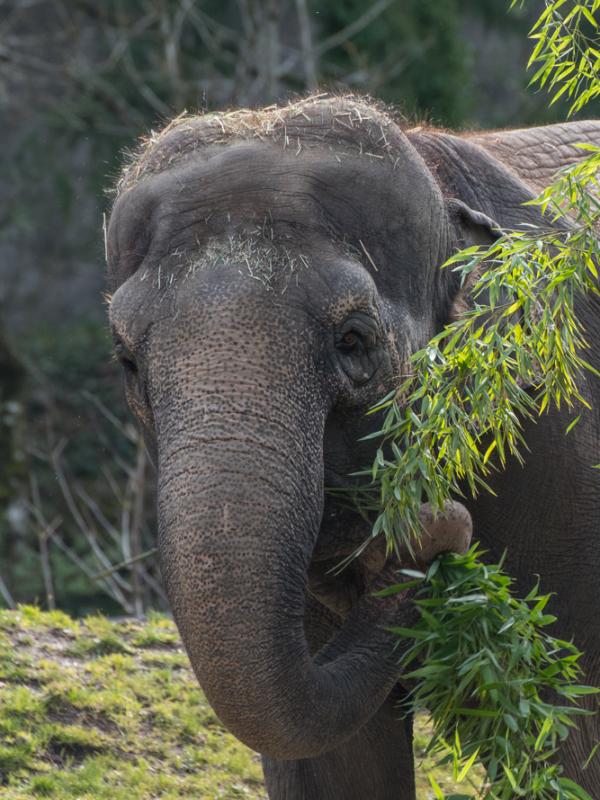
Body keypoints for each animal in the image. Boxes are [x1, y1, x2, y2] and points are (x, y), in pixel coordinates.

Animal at [106, 95, 600, 798]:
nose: (433, 527)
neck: (438, 172)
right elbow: (337, 760)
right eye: (127, 362)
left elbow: (569, 724)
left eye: (354, 341)